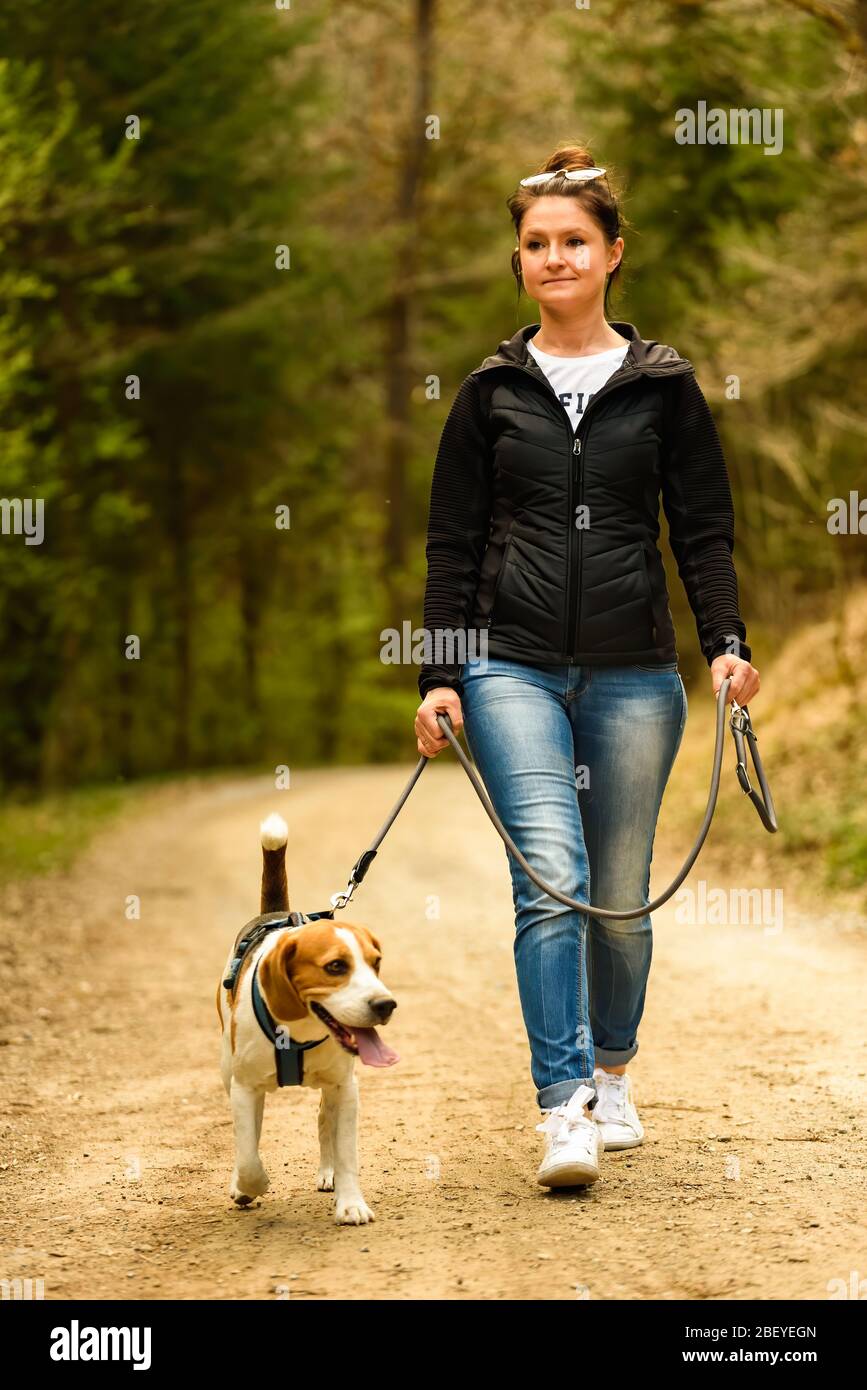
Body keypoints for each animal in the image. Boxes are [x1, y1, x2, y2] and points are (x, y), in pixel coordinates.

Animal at [216, 811, 400, 1228]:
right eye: (335, 967)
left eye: (376, 963)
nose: (386, 1005)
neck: (299, 1031)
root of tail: (275, 914)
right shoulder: (244, 1087)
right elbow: (248, 1153)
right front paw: (251, 1185)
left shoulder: (346, 1088)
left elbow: (347, 1153)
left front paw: (351, 1204)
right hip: (228, 1071)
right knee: (251, 1132)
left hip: (332, 1088)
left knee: (322, 1121)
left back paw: (328, 1173)